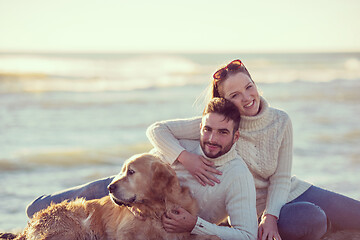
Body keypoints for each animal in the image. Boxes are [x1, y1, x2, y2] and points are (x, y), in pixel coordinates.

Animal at [13, 154, 219, 240]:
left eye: (131, 172)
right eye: (122, 170)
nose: (109, 187)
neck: (156, 210)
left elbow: (213, 236)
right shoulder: (123, 232)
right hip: (75, 225)